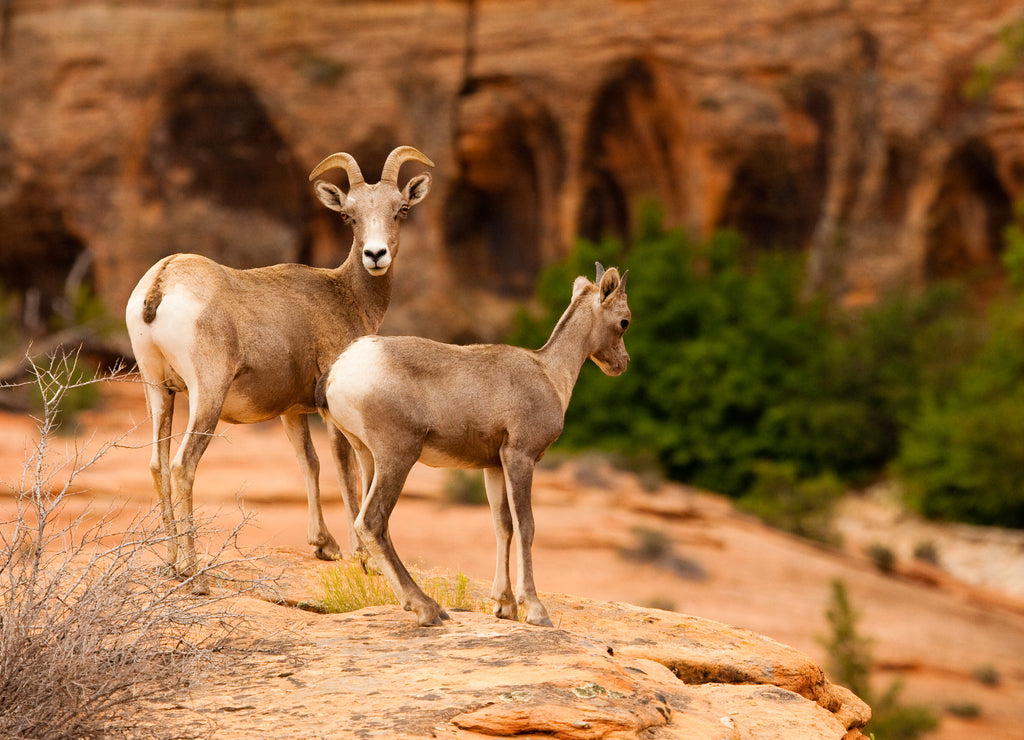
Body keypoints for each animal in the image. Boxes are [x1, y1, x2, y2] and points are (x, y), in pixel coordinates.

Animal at [125, 146, 433, 578]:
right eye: (349, 215)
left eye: (400, 209)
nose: (375, 255)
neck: (346, 296)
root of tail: (161, 283)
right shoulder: (330, 409)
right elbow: (348, 468)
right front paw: (361, 557)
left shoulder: (291, 412)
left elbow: (310, 463)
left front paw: (323, 546)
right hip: (206, 395)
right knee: (183, 465)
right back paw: (193, 572)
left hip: (158, 390)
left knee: (158, 464)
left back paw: (170, 562)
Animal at [316, 263, 631, 626]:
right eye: (625, 321)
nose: (622, 364)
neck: (550, 375)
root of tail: (339, 371)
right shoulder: (520, 457)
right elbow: (526, 525)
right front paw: (535, 610)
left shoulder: (493, 466)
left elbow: (502, 526)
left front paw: (504, 606)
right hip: (397, 457)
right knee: (371, 523)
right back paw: (427, 608)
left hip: (367, 457)